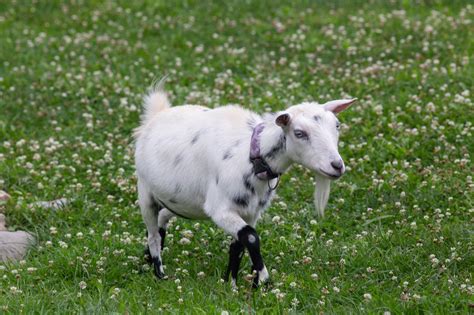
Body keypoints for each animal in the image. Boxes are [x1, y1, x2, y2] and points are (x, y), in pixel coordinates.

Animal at [133, 84, 356, 288]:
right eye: (299, 133)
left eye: (337, 126)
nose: (337, 166)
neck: (250, 155)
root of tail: (157, 114)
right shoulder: (220, 209)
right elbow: (250, 237)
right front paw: (263, 280)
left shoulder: (250, 211)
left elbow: (238, 246)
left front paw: (231, 284)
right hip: (145, 193)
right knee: (153, 234)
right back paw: (159, 272)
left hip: (182, 202)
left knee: (162, 219)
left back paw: (146, 260)